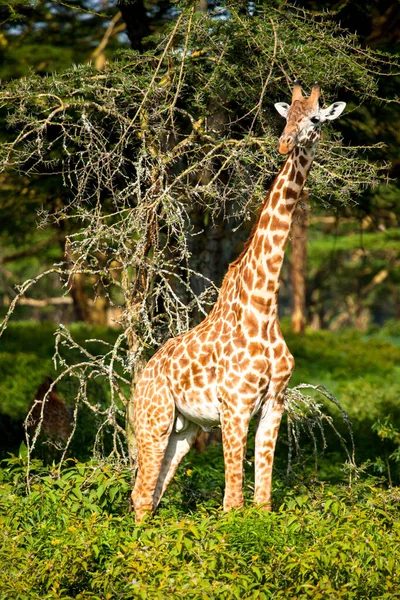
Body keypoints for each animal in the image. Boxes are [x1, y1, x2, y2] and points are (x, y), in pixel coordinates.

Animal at [130, 82, 346, 524]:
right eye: (285, 116)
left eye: (315, 118)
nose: (284, 144)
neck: (263, 306)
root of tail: (141, 378)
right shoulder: (234, 406)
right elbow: (232, 503)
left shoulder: (274, 404)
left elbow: (262, 501)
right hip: (153, 420)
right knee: (140, 497)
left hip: (184, 429)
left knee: (152, 494)